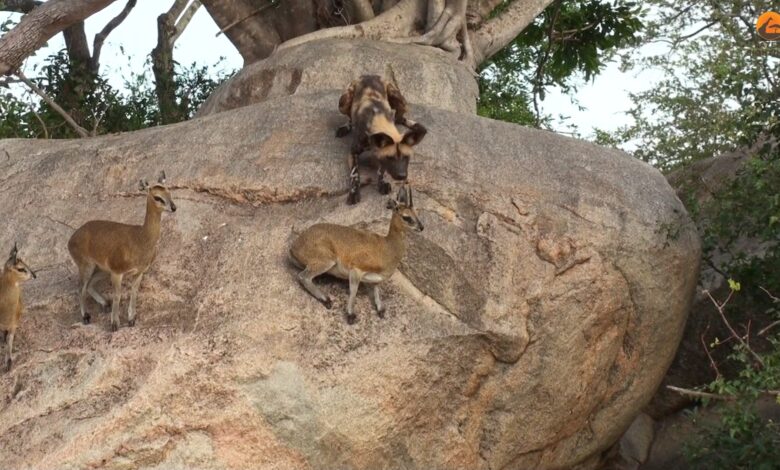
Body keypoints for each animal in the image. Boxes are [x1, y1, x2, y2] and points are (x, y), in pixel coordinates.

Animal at [68, 172, 176, 331]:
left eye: (169, 191)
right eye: (157, 197)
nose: (174, 207)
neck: (140, 239)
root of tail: (71, 240)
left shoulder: (138, 272)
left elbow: (134, 293)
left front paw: (131, 320)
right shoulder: (117, 272)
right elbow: (117, 295)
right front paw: (114, 324)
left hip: (101, 269)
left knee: (89, 285)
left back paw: (104, 304)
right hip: (86, 266)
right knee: (80, 287)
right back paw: (86, 316)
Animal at [290, 184, 424, 324]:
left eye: (416, 213)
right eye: (406, 217)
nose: (421, 227)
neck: (387, 248)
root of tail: (294, 246)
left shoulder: (376, 279)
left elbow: (376, 289)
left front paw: (380, 309)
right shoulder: (356, 270)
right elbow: (353, 290)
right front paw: (350, 315)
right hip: (326, 261)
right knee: (303, 277)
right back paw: (326, 300)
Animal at [336, 75, 427, 205]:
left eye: (406, 157)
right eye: (390, 158)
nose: (401, 176)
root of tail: (368, 75)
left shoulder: (381, 154)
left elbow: (381, 170)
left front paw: (382, 183)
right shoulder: (353, 152)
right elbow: (355, 174)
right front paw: (354, 192)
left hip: (401, 101)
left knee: (399, 118)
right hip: (343, 103)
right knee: (349, 116)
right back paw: (345, 127)